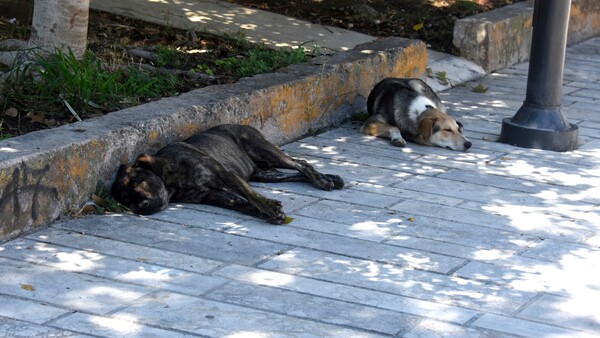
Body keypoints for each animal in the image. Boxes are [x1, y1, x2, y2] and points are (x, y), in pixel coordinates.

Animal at [112, 124, 344, 224]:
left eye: (138, 181)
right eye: (125, 201)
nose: (141, 207)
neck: (171, 180)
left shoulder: (224, 174)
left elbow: (252, 196)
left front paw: (269, 207)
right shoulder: (214, 196)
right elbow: (242, 203)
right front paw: (268, 213)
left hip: (263, 150)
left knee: (300, 163)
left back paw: (322, 179)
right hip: (264, 173)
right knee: (294, 173)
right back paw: (331, 178)